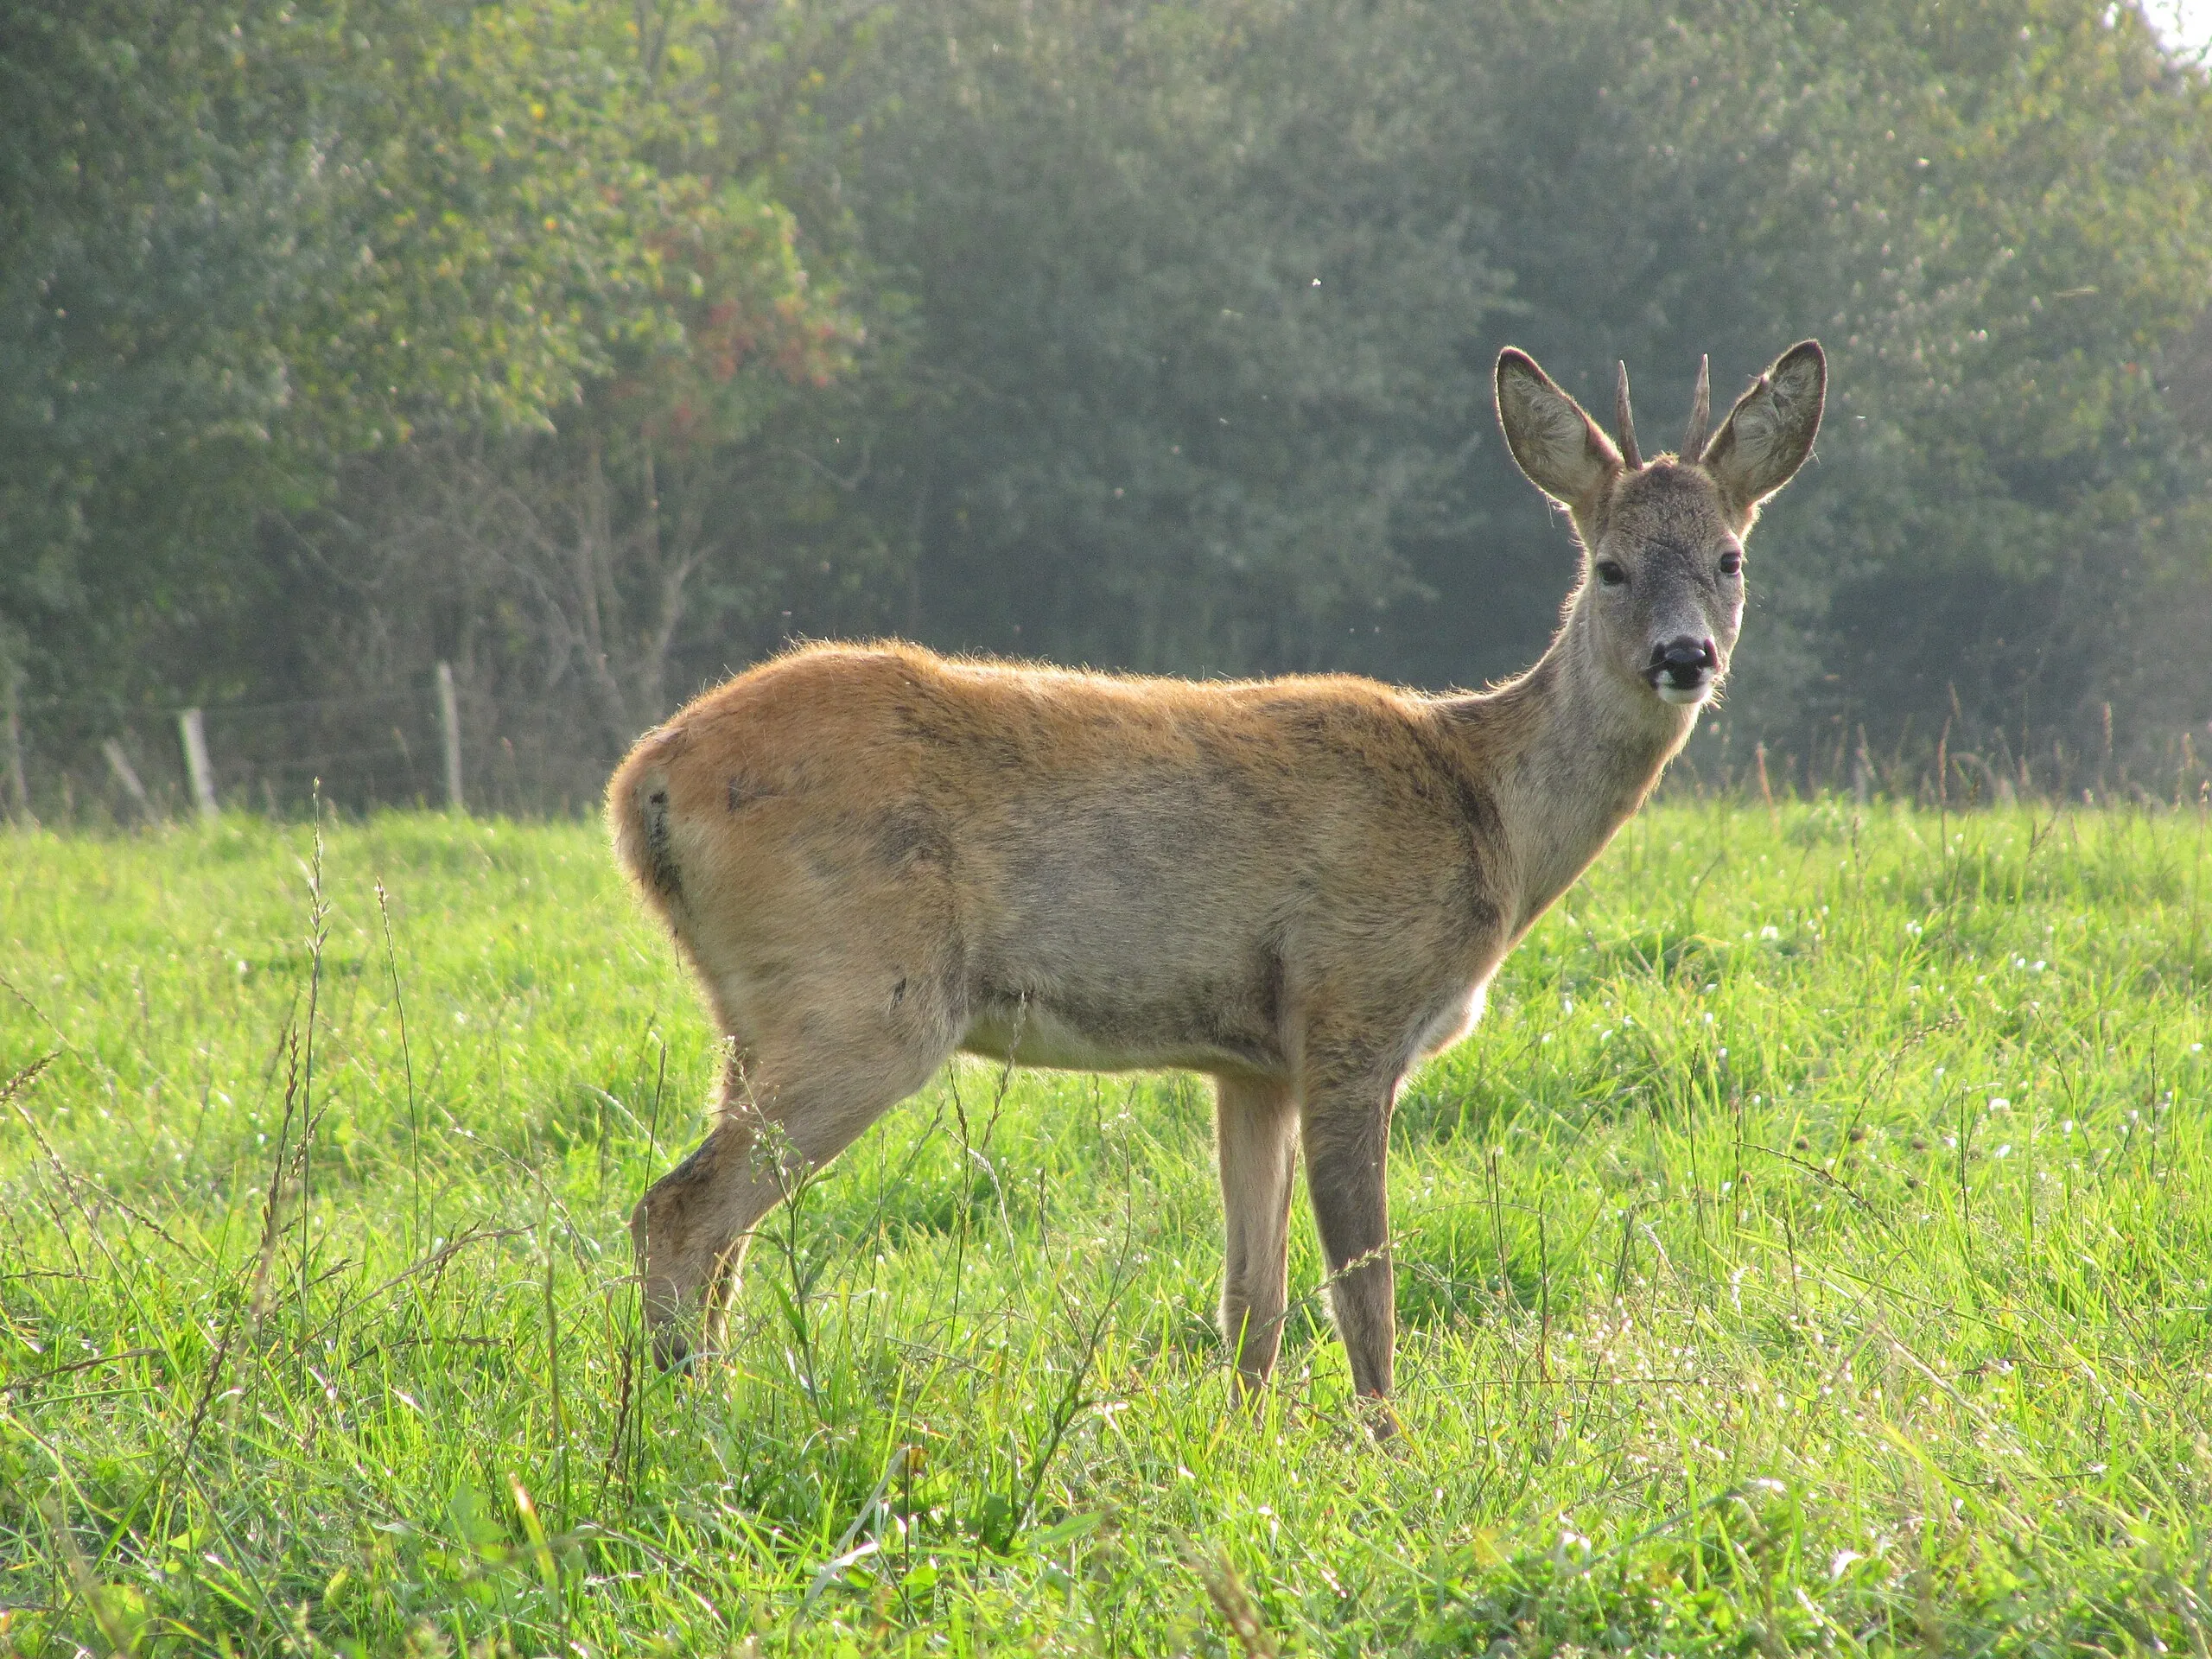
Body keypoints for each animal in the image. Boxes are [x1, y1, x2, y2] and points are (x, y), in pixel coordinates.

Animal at [614, 334, 1822, 1415]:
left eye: (1729, 558)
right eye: (1608, 567)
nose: (1684, 656)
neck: (1487, 811)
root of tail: (645, 784)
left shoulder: (1249, 1066)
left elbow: (1254, 1302)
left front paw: (1243, 1448)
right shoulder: (1351, 1008)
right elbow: (1363, 1289)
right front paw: (1387, 1450)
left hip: (754, 1011)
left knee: (719, 1232)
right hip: (867, 995)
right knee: (681, 1209)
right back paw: (692, 1425)